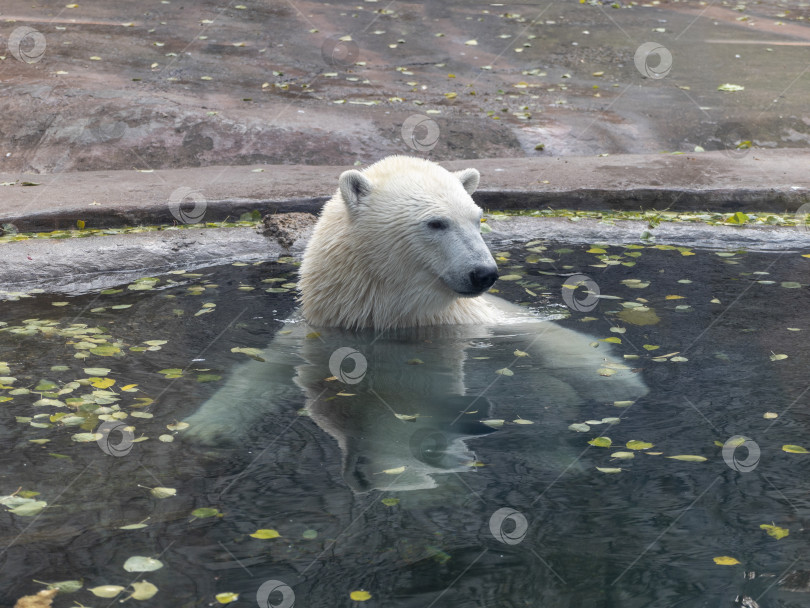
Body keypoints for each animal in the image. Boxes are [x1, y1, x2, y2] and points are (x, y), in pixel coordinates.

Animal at [183, 154, 644, 492]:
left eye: (477, 217)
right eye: (436, 222)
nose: (484, 273)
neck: (394, 313)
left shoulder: (471, 321)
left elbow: (540, 333)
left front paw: (621, 380)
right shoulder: (321, 327)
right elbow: (262, 370)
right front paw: (205, 429)